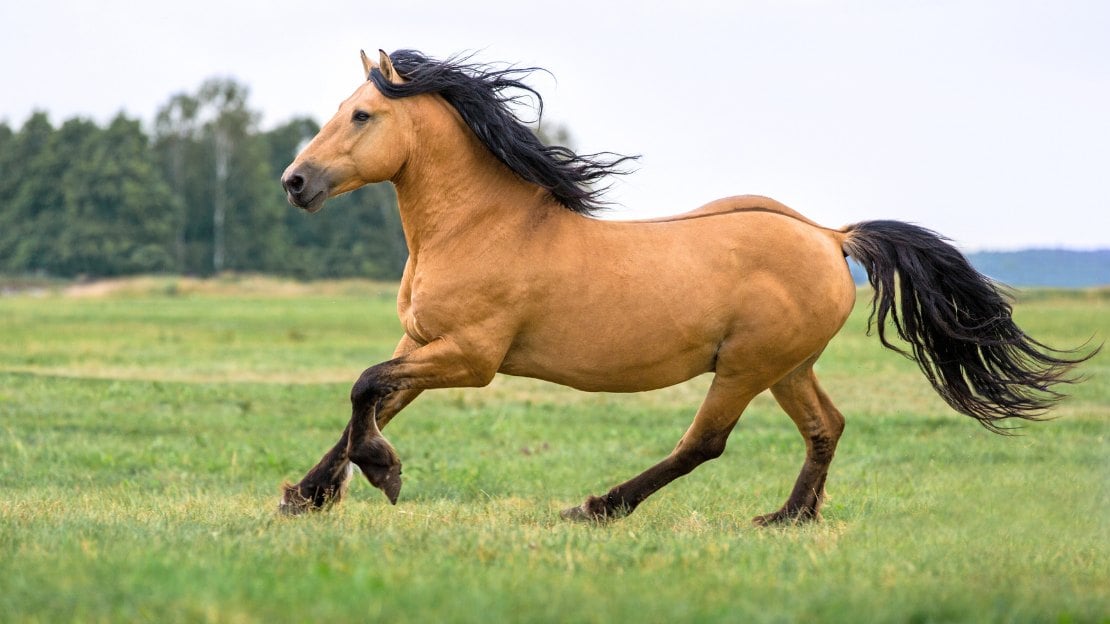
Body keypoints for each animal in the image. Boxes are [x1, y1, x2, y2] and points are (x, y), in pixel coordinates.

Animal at [278, 49, 1096, 524]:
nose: (295, 182)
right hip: (788, 367)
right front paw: (307, 494)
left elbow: (364, 386)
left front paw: (380, 474)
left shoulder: (470, 358)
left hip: (745, 366)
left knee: (704, 442)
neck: (482, 225)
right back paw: (789, 518)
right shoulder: (423, 342)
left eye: (362, 114)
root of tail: (830, 237)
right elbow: (372, 399)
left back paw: (598, 507)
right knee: (825, 427)